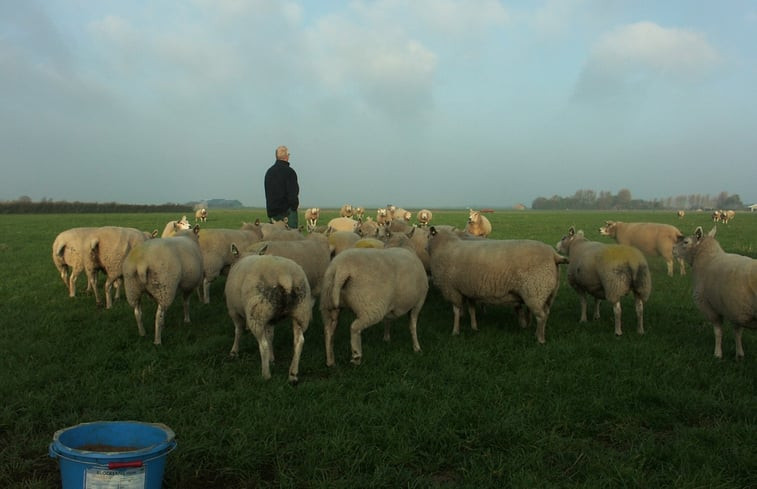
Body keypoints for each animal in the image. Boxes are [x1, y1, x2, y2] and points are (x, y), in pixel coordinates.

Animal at [224, 246, 310, 384]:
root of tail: (284, 276)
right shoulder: (271, 319)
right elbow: (270, 336)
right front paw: (271, 358)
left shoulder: (233, 310)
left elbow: (238, 330)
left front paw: (234, 352)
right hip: (301, 311)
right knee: (299, 341)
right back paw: (293, 375)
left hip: (257, 313)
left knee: (262, 344)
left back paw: (266, 375)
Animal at [426, 226, 568, 344]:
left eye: (428, 236)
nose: (424, 248)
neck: (444, 246)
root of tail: (554, 254)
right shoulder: (469, 290)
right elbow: (472, 310)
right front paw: (474, 327)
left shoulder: (452, 289)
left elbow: (456, 311)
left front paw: (455, 332)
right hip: (548, 293)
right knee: (546, 313)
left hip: (535, 291)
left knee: (541, 316)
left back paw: (540, 339)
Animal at [672, 226, 756, 358]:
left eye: (686, 242)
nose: (672, 249)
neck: (708, 257)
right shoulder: (736, 310)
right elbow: (738, 332)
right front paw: (739, 354)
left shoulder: (709, 307)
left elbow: (718, 332)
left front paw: (717, 354)